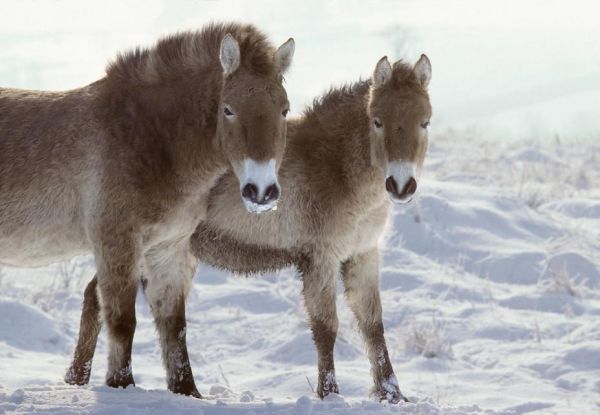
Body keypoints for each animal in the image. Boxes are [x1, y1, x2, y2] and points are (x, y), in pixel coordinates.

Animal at [0, 23, 296, 400]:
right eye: (228, 109)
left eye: (284, 109)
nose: (261, 191)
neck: (149, 139)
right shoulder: (117, 243)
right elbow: (122, 320)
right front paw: (121, 385)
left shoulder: (167, 248)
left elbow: (174, 325)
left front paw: (186, 391)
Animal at [71, 53, 432, 402]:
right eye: (377, 121)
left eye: (425, 122)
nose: (401, 185)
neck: (336, 166)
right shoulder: (320, 259)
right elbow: (326, 328)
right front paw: (330, 395)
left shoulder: (363, 254)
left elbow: (373, 325)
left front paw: (392, 394)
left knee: (100, 296)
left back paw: (79, 379)